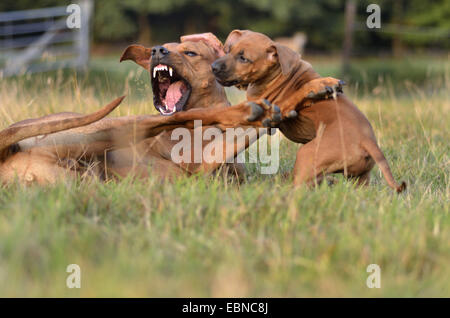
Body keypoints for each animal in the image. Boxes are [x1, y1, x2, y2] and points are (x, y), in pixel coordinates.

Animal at [210, 29, 404, 191]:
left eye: (243, 58)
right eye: (228, 50)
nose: (214, 67)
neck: (276, 74)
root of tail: (367, 141)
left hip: (307, 155)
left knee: (298, 186)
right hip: (359, 177)